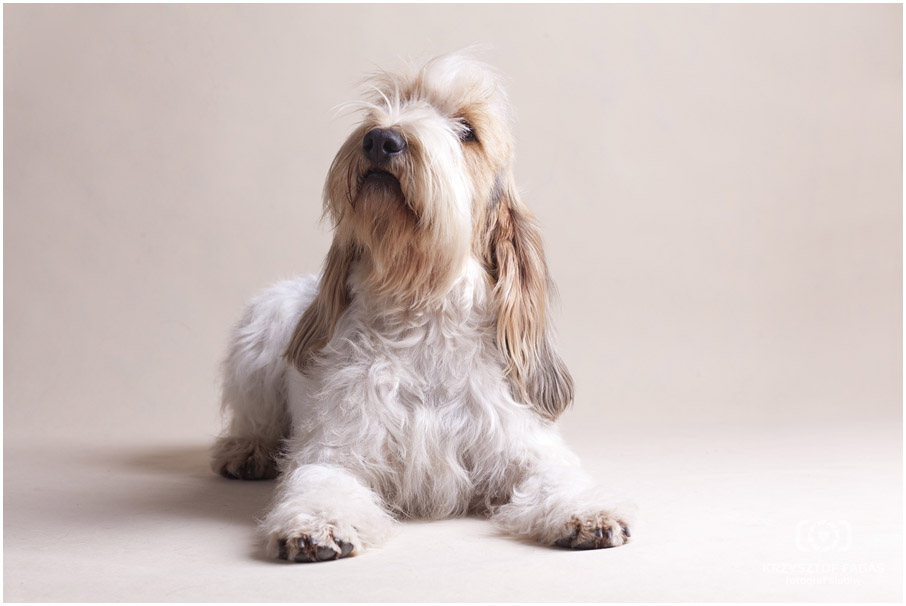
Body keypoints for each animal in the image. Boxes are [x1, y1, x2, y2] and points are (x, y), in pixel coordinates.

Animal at [212, 53, 632, 562]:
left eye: (467, 130)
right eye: (390, 102)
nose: (381, 138)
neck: (424, 310)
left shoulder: (527, 449)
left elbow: (561, 479)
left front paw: (588, 513)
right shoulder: (336, 450)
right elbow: (322, 484)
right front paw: (318, 525)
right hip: (256, 338)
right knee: (254, 418)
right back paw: (246, 451)